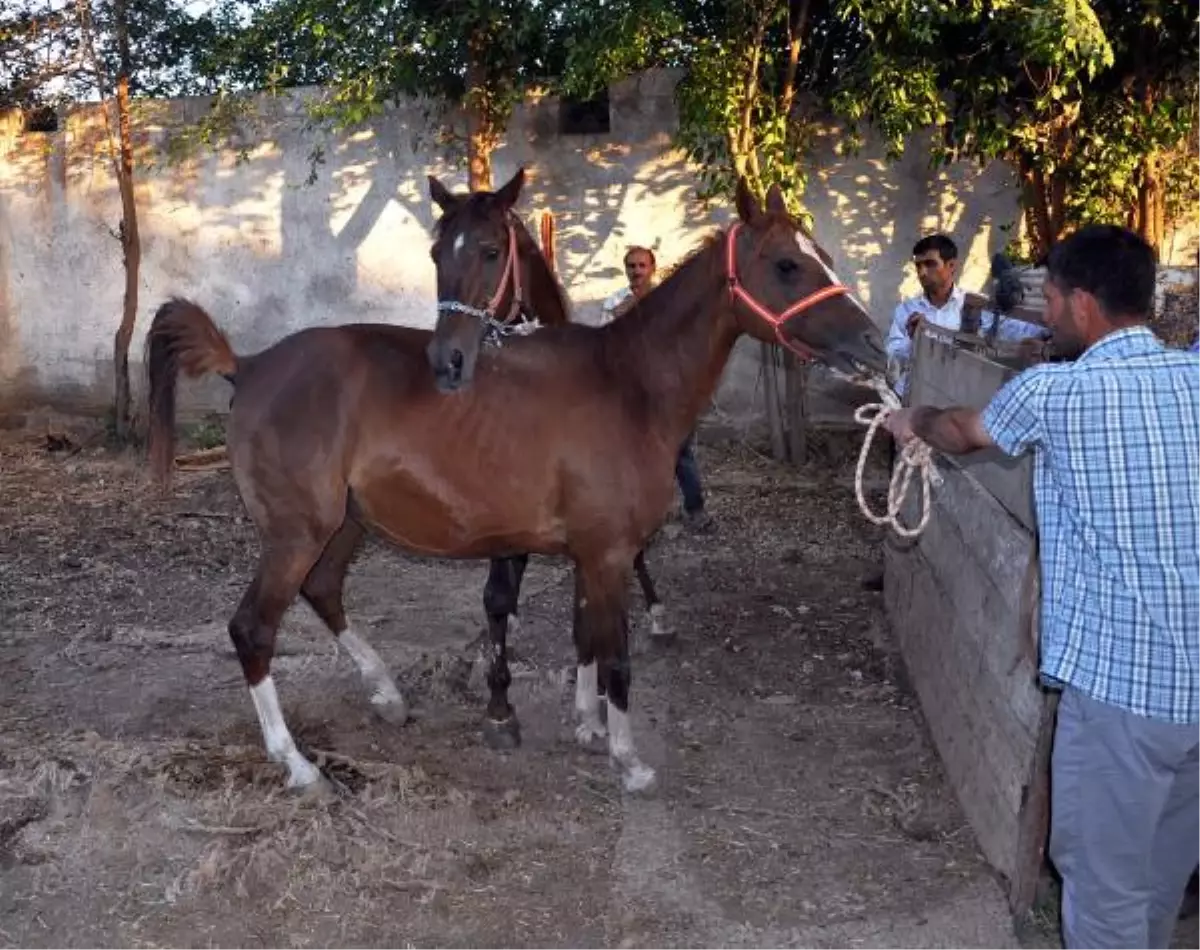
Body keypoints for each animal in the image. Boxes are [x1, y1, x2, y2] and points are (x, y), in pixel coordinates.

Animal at [145, 172, 888, 796]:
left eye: (821, 253)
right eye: (788, 265)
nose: (875, 346)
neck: (628, 383)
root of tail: (250, 364)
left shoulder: (590, 553)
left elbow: (585, 634)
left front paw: (587, 725)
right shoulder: (609, 553)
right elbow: (616, 656)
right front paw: (628, 761)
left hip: (343, 525)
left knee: (322, 590)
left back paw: (387, 695)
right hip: (296, 533)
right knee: (253, 628)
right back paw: (297, 765)